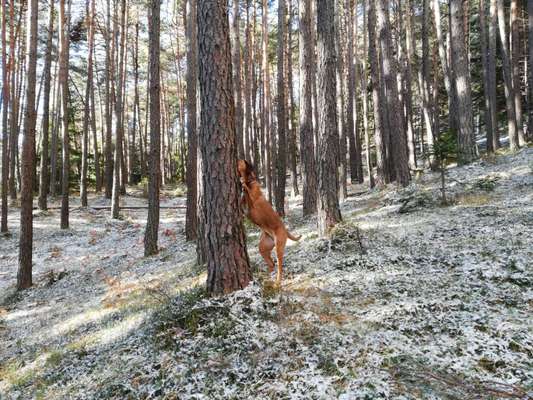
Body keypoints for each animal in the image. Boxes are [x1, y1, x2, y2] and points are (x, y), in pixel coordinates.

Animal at [237, 158, 300, 286]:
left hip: (279, 247)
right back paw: (265, 278)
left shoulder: (252, 199)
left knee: (279, 266)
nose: (239, 159)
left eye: (243, 162)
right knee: (271, 264)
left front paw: (243, 183)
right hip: (263, 247)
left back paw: (277, 281)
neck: (251, 180)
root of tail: (285, 229)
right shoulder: (245, 207)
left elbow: (246, 190)